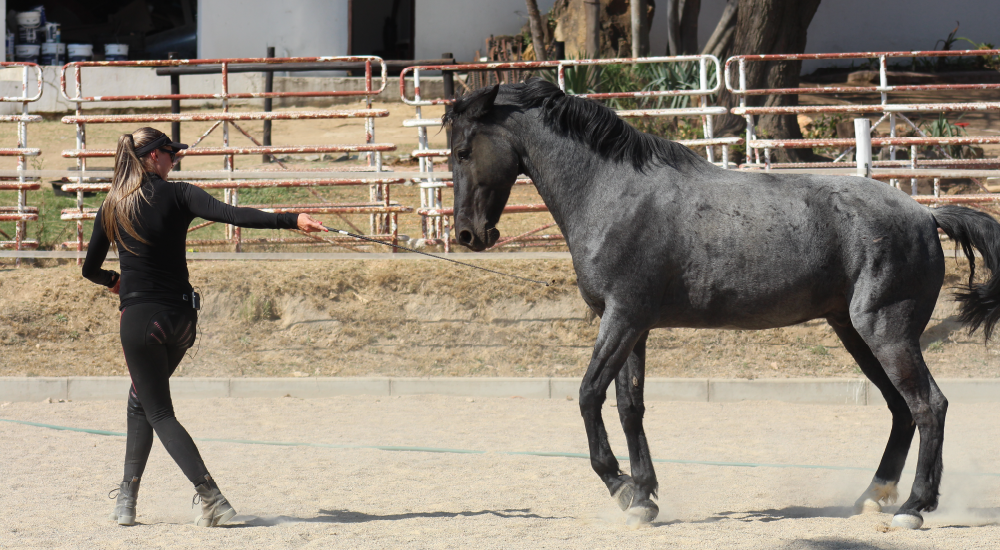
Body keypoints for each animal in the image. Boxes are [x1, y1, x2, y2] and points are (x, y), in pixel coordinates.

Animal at [443, 78, 1000, 529]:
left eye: (464, 150)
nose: (469, 234)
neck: (613, 192)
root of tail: (926, 215)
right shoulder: (632, 325)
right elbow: (629, 406)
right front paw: (644, 496)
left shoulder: (622, 318)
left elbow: (587, 395)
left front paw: (621, 487)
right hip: (855, 333)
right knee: (901, 409)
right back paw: (873, 496)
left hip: (886, 331)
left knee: (928, 406)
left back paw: (914, 507)